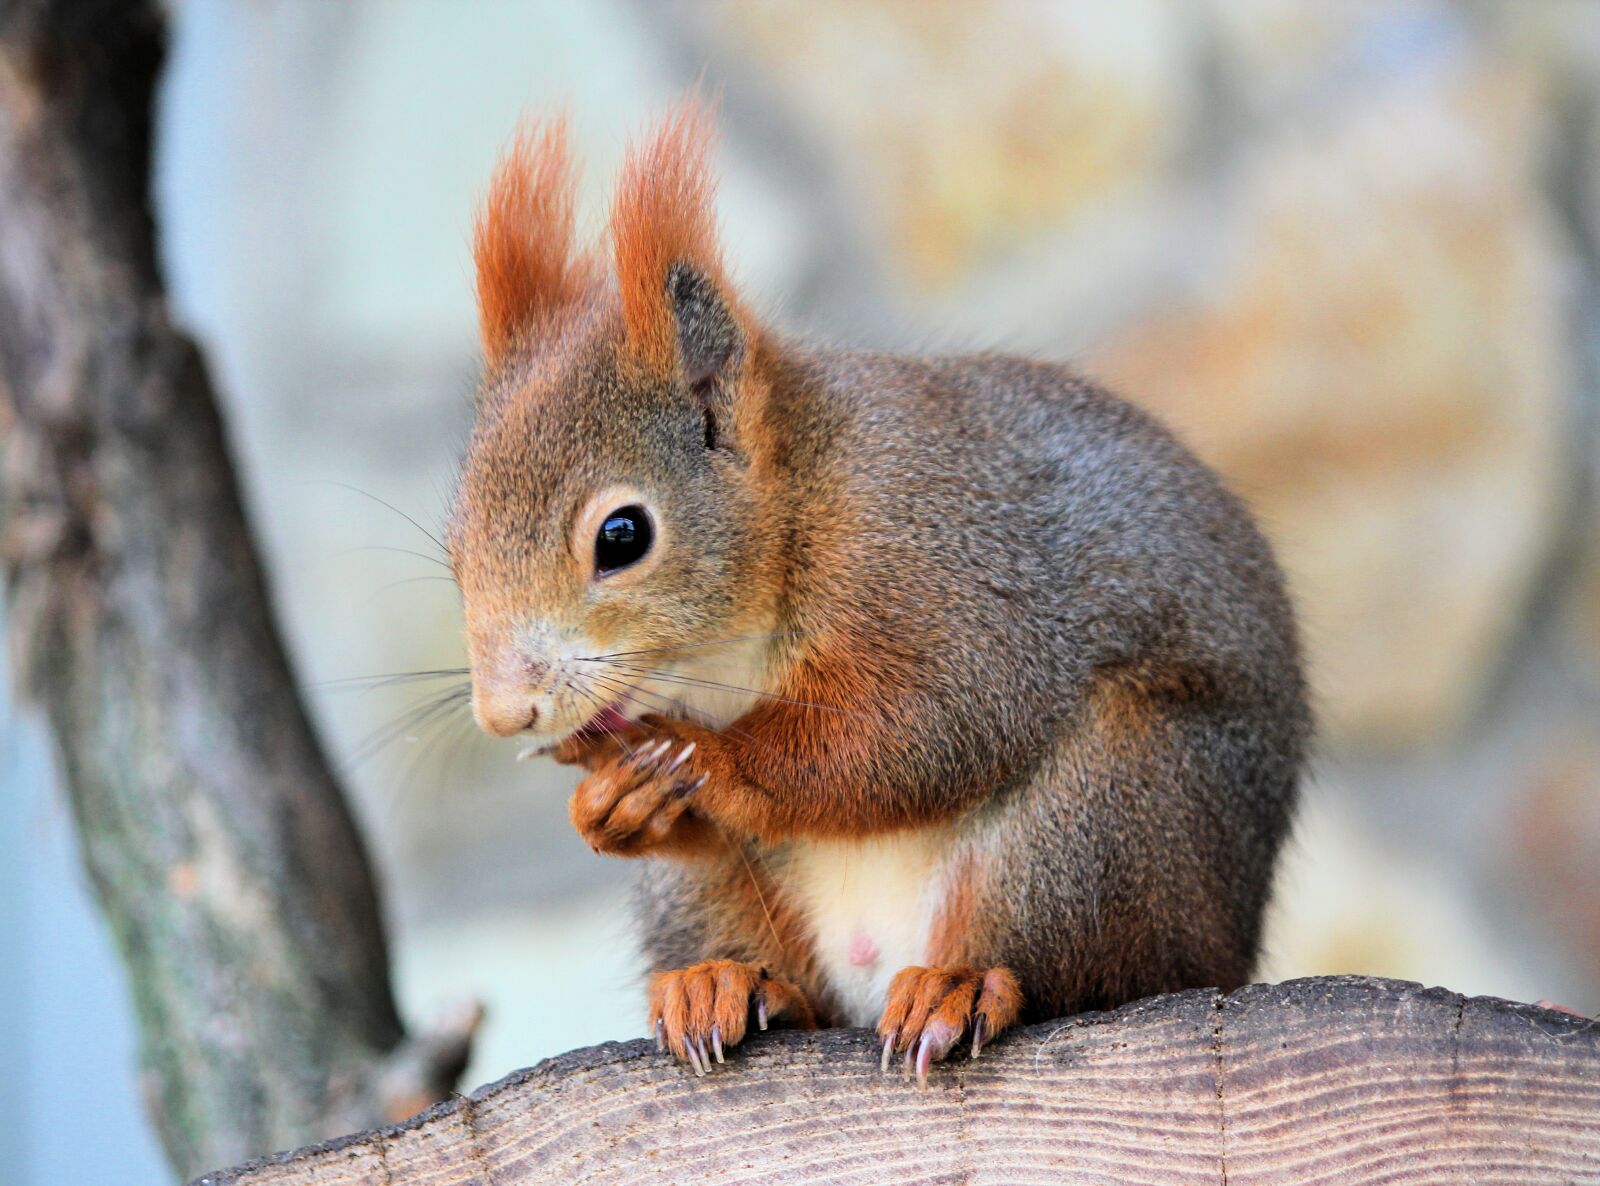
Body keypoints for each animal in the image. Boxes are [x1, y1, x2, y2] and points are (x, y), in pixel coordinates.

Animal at [447, 103, 1310, 1084]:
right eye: (455, 550)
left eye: (622, 536)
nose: (505, 713)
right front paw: (608, 800)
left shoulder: (940, 567)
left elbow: (922, 724)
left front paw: (710, 761)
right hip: (708, 898)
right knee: (789, 979)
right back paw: (726, 984)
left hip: (1119, 806)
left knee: (1078, 968)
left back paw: (959, 986)